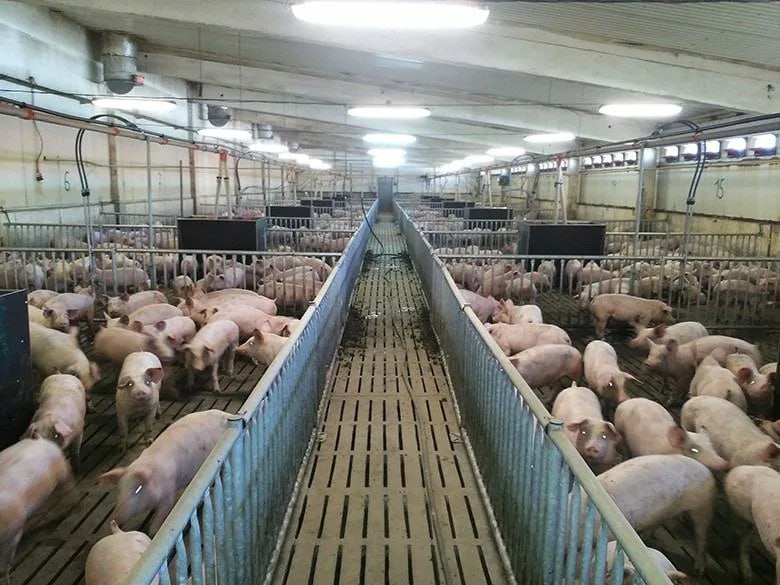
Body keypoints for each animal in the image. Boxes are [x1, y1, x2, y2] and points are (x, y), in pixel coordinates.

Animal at [99, 409, 229, 535]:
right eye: (120, 489)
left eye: (137, 490)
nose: (116, 517)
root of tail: (226, 414)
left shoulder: (168, 492)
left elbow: (161, 515)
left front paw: (153, 532)